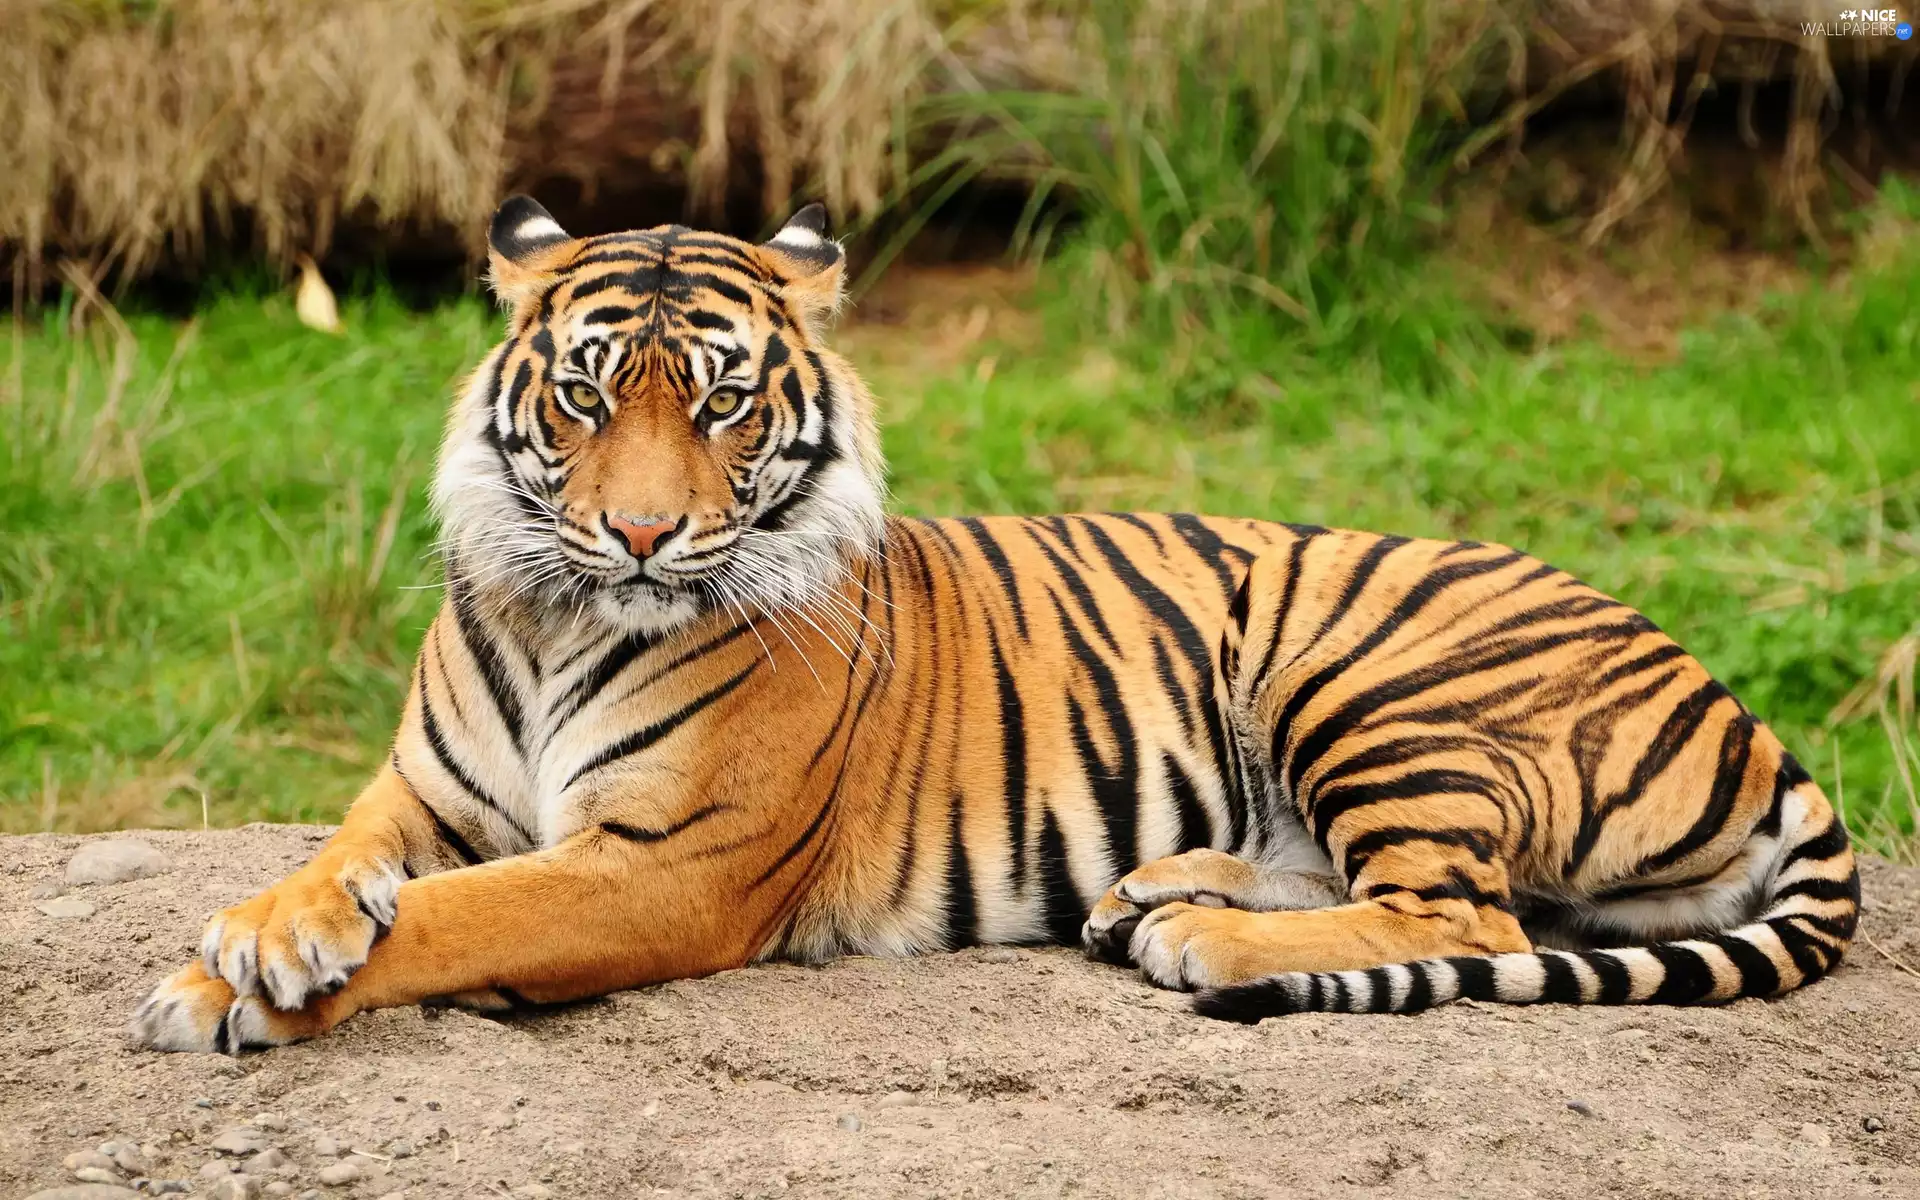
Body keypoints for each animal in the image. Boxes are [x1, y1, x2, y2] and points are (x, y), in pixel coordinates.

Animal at [130, 197, 1859, 1052]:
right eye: (585, 396)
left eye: (724, 405)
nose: (640, 532)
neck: (563, 618)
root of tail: (1741, 704)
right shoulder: (420, 793)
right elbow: (346, 867)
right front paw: (264, 936)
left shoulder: (664, 867)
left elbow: (458, 920)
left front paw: (227, 992)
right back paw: (1156, 892)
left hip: (1368, 672)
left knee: (1471, 916)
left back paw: (1200, 937)